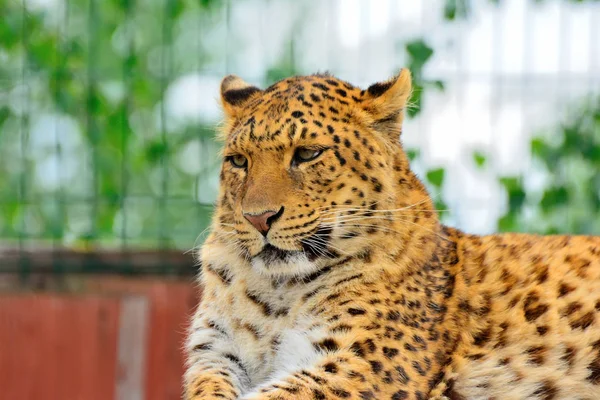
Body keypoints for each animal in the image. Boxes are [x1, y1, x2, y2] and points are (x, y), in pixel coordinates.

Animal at [184, 69, 600, 400]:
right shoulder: (215, 353)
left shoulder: (357, 363)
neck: (278, 292)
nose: (258, 218)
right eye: (239, 161)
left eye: (307, 154)